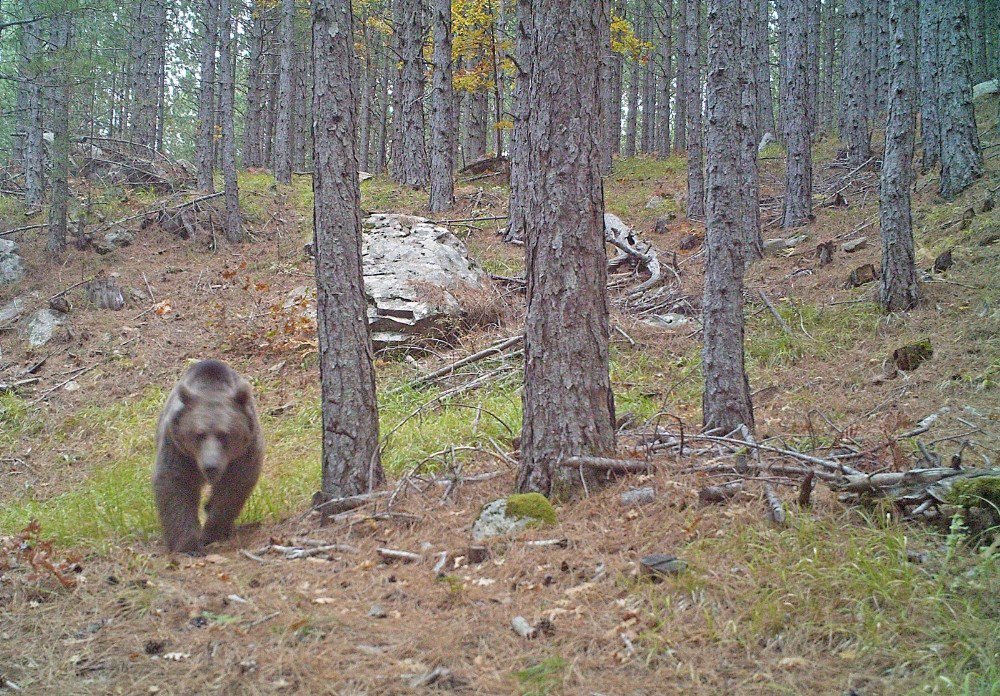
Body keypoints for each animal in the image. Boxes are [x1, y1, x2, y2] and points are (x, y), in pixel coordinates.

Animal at [152, 358, 262, 556]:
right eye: (199, 434)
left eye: (224, 434)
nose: (211, 466)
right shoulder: (178, 449)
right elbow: (174, 484)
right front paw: (187, 544)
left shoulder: (243, 452)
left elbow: (233, 487)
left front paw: (212, 533)